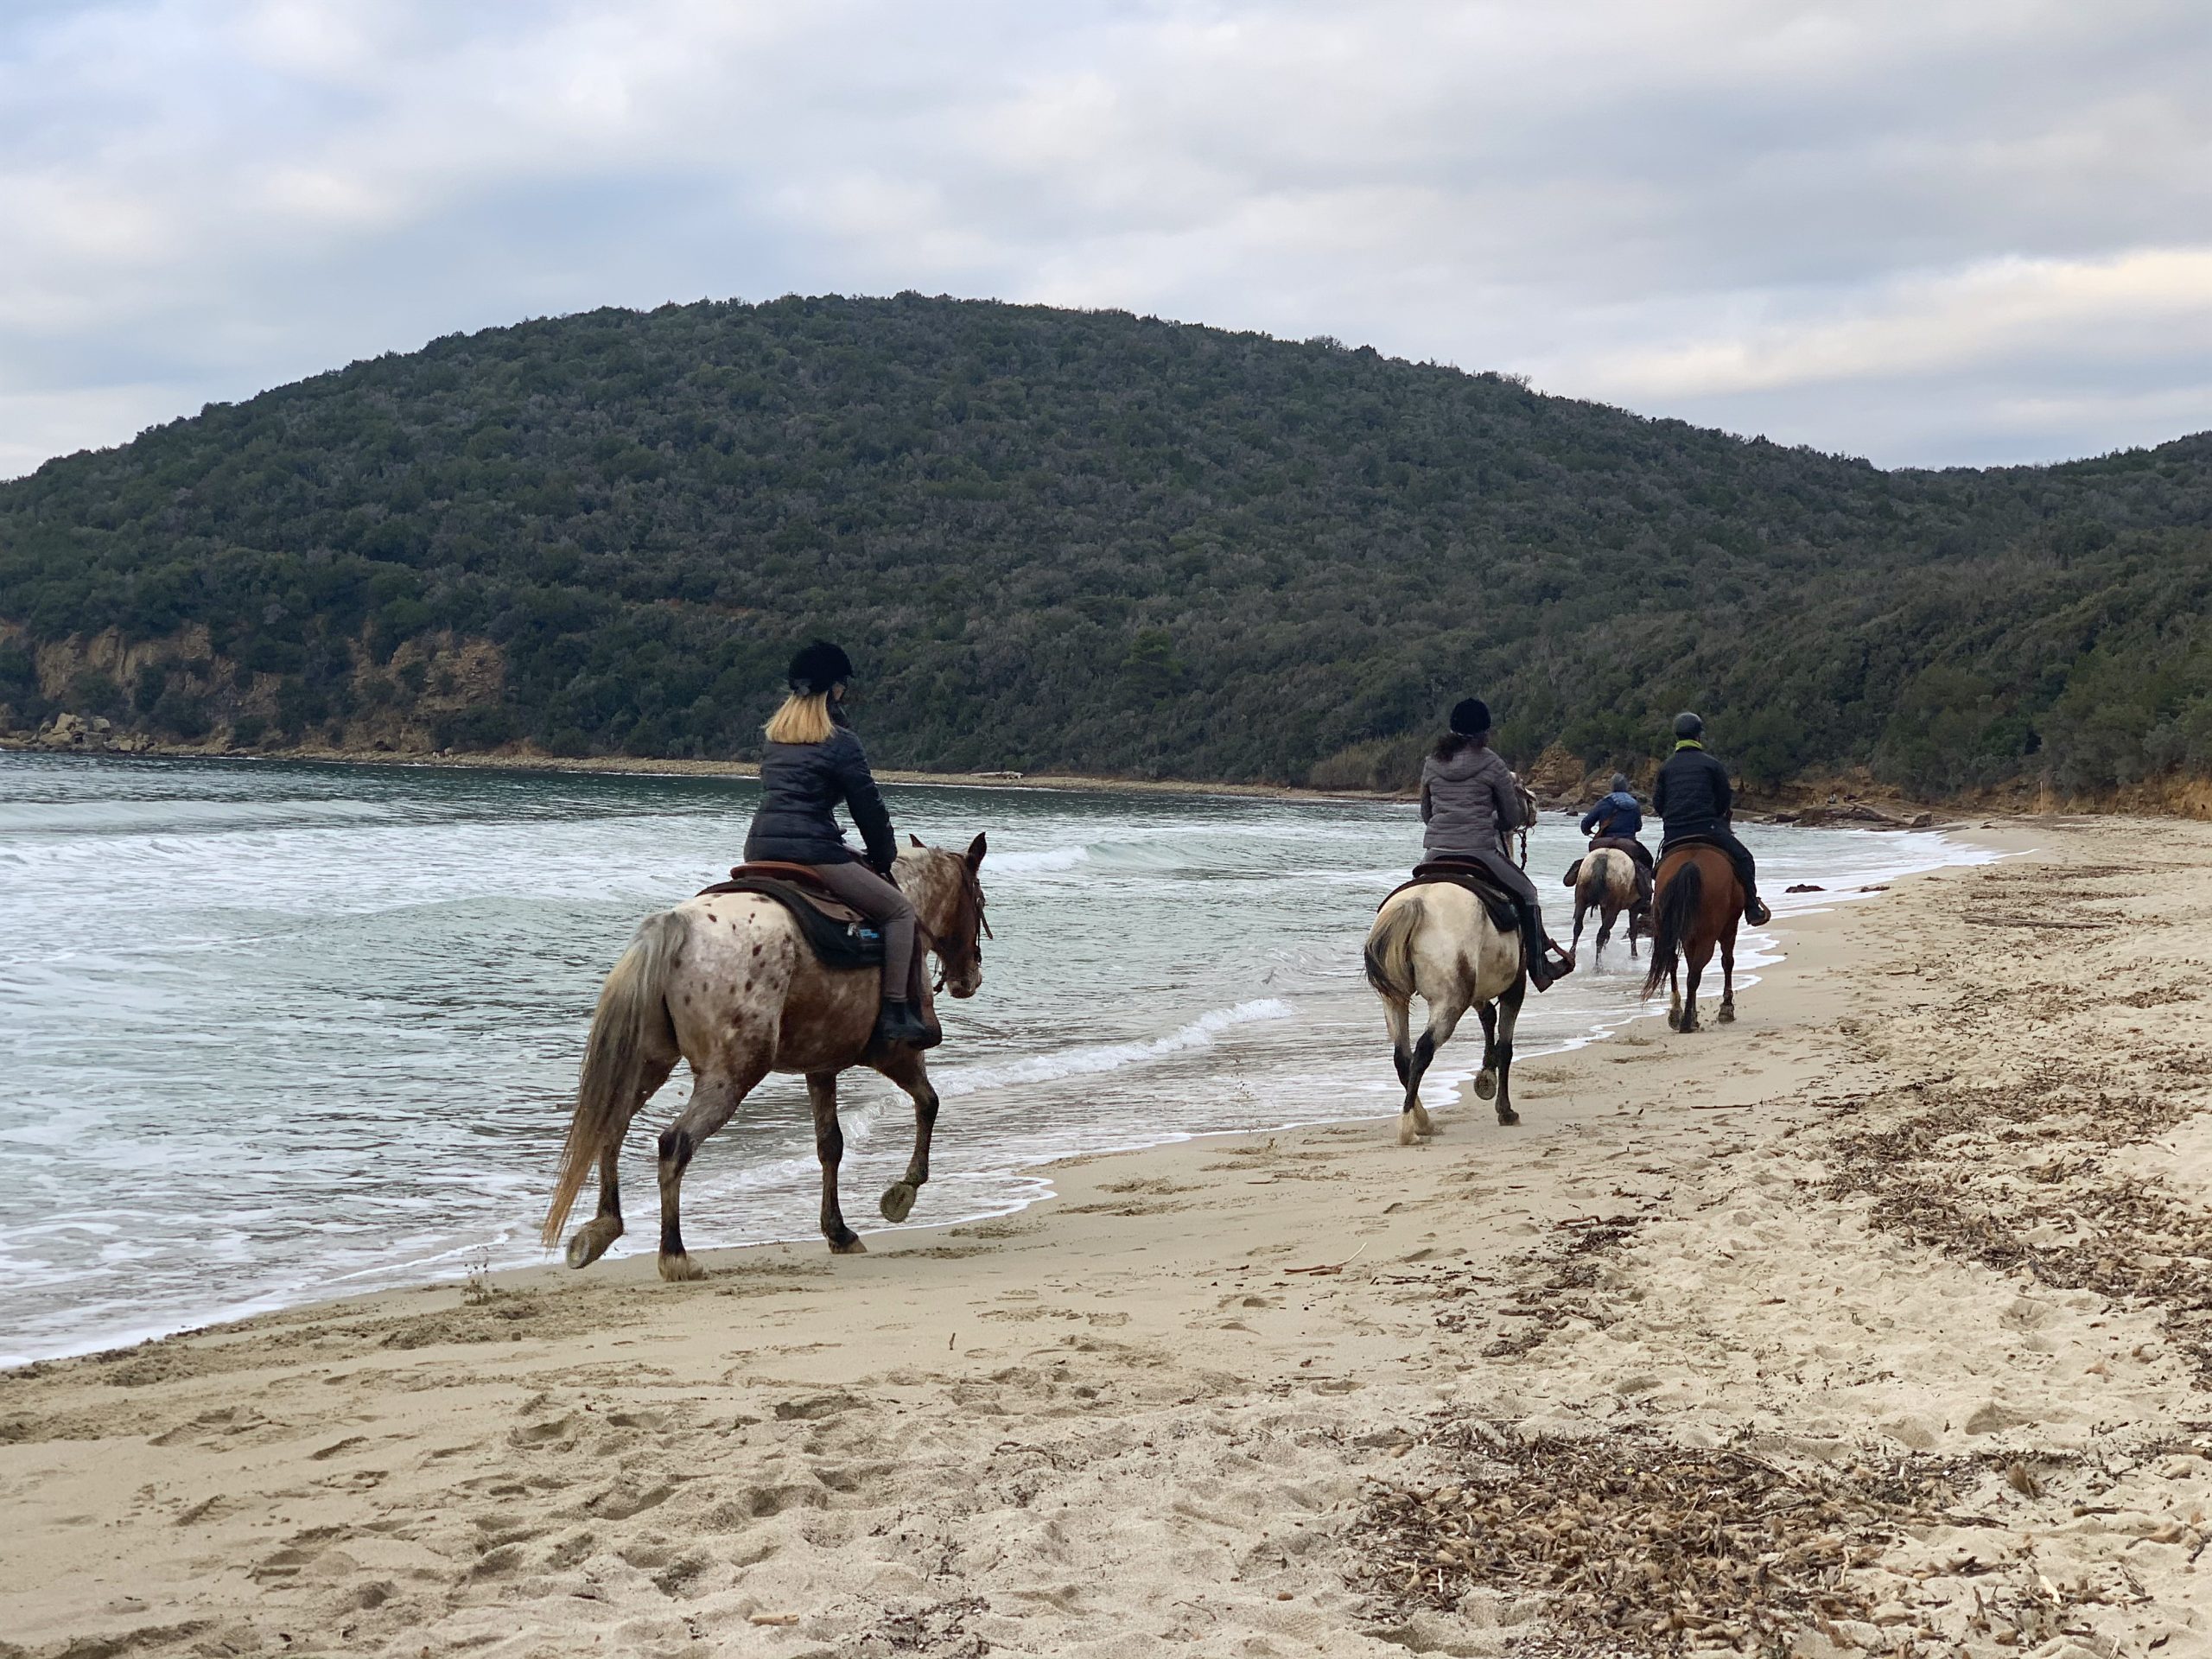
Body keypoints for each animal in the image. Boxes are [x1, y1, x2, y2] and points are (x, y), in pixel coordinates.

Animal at [539, 836, 990, 1282]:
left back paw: (603, 1228)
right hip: (732, 1073)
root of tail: (676, 926)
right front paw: (903, 1192)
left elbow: (830, 1145)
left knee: (611, 1128)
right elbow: (929, 1104)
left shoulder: (820, 1066)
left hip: (649, 1063)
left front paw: (838, 1231)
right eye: (980, 900)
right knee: (674, 1144)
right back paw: (675, 1254)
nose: (969, 979)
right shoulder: (898, 1054)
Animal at [1637, 849, 1734, 1035]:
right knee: (1695, 975)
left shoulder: (1689, 938)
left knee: (1676, 964)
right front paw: (1727, 1009)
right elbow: (1727, 962)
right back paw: (1687, 1022)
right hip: (1707, 937)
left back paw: (1678, 1015)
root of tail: (1690, 864)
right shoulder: (1729, 928)